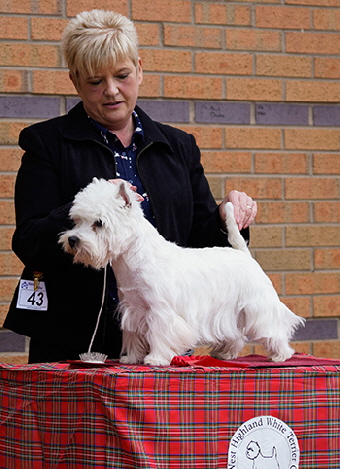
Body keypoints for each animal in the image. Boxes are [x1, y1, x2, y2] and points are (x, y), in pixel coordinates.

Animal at [59, 179, 306, 366]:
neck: (132, 258)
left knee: (274, 326)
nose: (72, 240)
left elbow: (159, 334)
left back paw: (281, 354)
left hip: (257, 305)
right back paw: (225, 353)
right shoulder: (132, 307)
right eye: (76, 220)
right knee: (235, 334)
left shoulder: (160, 310)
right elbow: (133, 334)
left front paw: (155, 359)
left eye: (99, 223)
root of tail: (243, 253)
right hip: (230, 312)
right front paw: (131, 358)